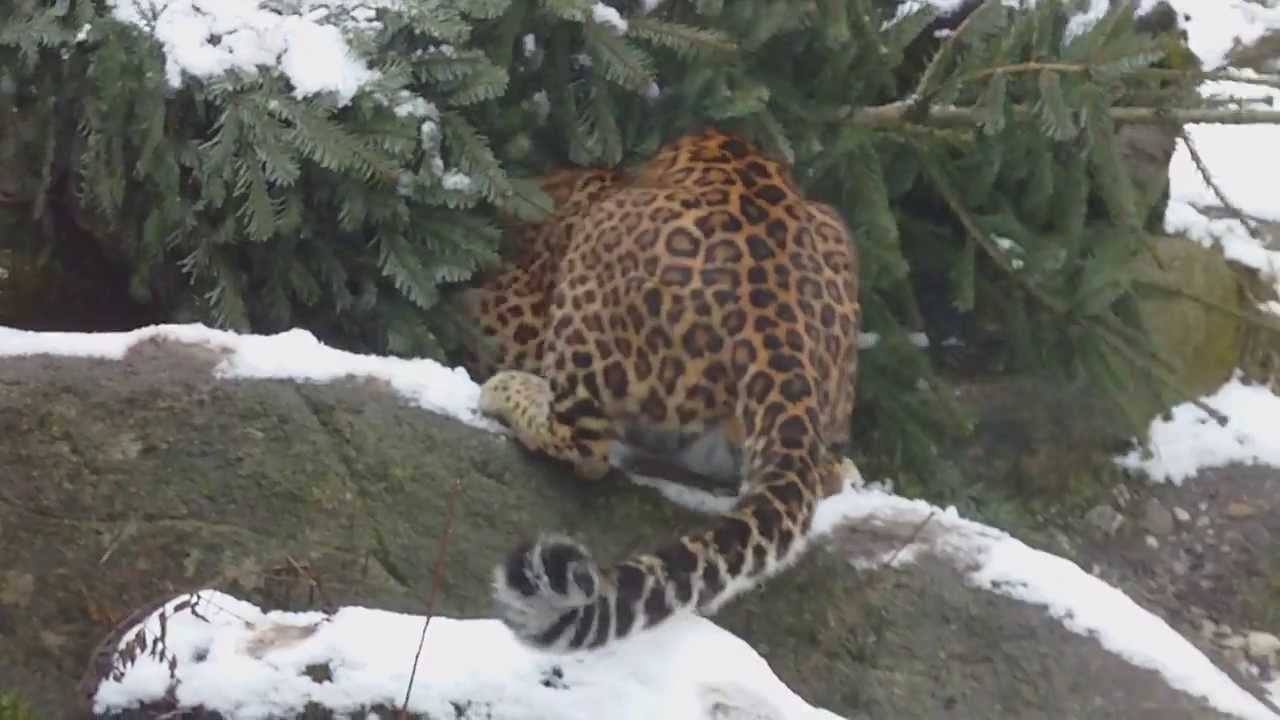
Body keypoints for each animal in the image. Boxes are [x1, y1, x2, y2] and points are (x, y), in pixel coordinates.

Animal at [452, 127, 861, 652]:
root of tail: (776, 312)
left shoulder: (509, 311)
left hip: (594, 263)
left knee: (585, 448)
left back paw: (508, 391)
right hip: (835, 235)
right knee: (825, 473)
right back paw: (843, 468)